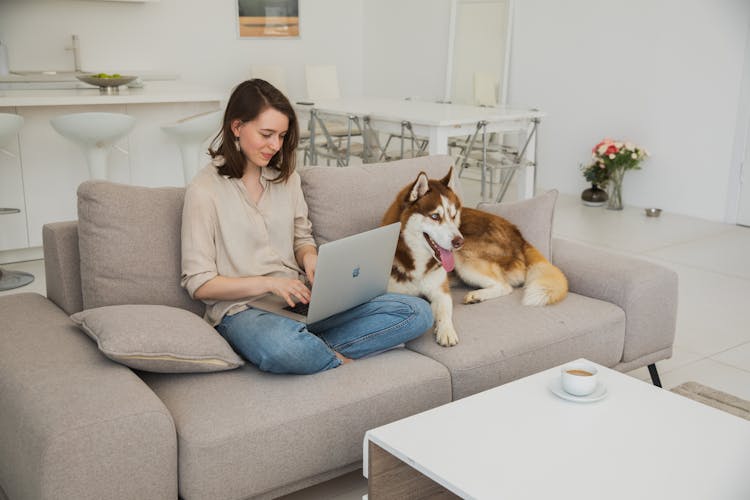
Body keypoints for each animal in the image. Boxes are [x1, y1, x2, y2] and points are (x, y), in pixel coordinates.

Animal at [384, 170, 568, 346]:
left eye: (453, 215)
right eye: (435, 216)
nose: (459, 241)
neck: (418, 259)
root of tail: (518, 235)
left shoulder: (441, 291)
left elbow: (445, 312)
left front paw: (446, 331)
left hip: (464, 259)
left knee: (505, 286)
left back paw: (477, 295)